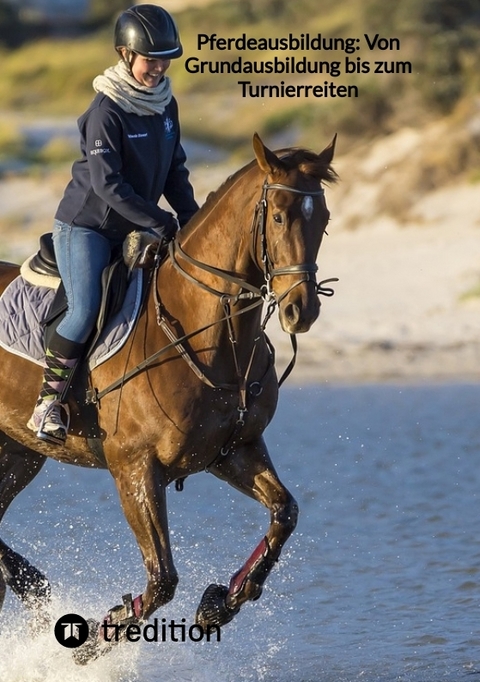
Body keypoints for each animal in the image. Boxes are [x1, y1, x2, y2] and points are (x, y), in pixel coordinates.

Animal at [0, 131, 338, 660]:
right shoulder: (134, 469)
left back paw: (27, 580)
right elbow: (161, 579)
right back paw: (31, 583)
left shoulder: (233, 451)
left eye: (322, 219)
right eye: (280, 216)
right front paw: (94, 640)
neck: (206, 335)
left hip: (18, 454)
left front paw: (221, 602)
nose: (300, 311)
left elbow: (285, 514)